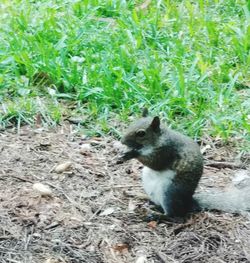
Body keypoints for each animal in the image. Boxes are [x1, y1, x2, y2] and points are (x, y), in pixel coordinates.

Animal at [119, 109, 250, 219]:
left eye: (141, 133)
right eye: (131, 124)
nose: (122, 141)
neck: (157, 140)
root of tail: (188, 202)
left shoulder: (167, 151)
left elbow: (156, 163)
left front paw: (132, 154)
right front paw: (123, 155)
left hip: (169, 192)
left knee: (173, 214)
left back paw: (157, 215)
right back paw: (145, 199)